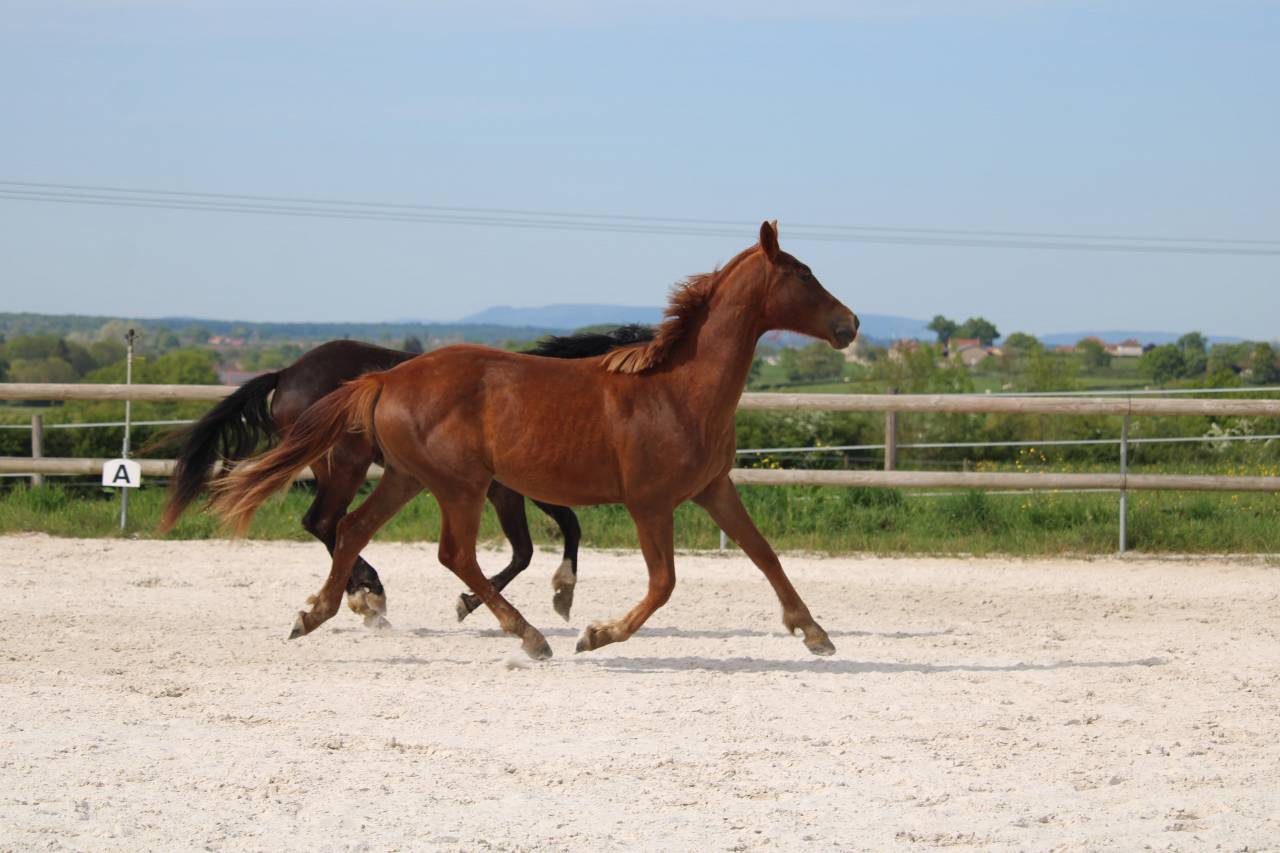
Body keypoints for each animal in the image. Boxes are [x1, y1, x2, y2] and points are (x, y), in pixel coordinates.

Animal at [156, 325, 655, 627]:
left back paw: (361, 596)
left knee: (331, 524)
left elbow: (541, 542)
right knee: (326, 522)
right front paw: (555, 593)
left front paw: (479, 602)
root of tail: (287, 373)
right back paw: (368, 596)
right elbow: (542, 542)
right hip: (345, 463)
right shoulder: (510, 489)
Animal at [210, 222, 858, 659]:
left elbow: (764, 553)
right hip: (457, 485)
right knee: (451, 554)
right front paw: (596, 633)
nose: (849, 324)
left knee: (349, 530)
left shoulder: (713, 488)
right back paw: (528, 634)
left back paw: (322, 613)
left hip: (407, 476)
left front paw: (814, 632)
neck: (680, 389)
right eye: (803, 274)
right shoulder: (649, 502)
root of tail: (385, 377)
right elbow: (663, 582)